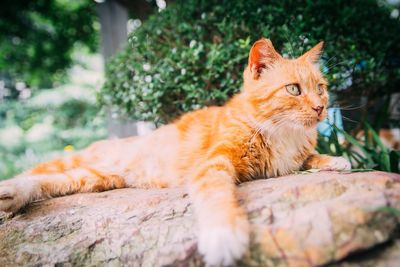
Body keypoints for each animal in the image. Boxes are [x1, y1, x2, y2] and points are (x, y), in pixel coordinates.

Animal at [0, 38, 350, 266]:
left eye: (321, 88)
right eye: (293, 89)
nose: (321, 108)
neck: (281, 133)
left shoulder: (291, 160)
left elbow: (309, 159)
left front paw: (336, 160)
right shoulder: (213, 164)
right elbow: (217, 196)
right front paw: (224, 235)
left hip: (96, 178)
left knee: (51, 182)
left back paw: (14, 196)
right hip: (79, 162)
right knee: (36, 172)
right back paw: (10, 191)